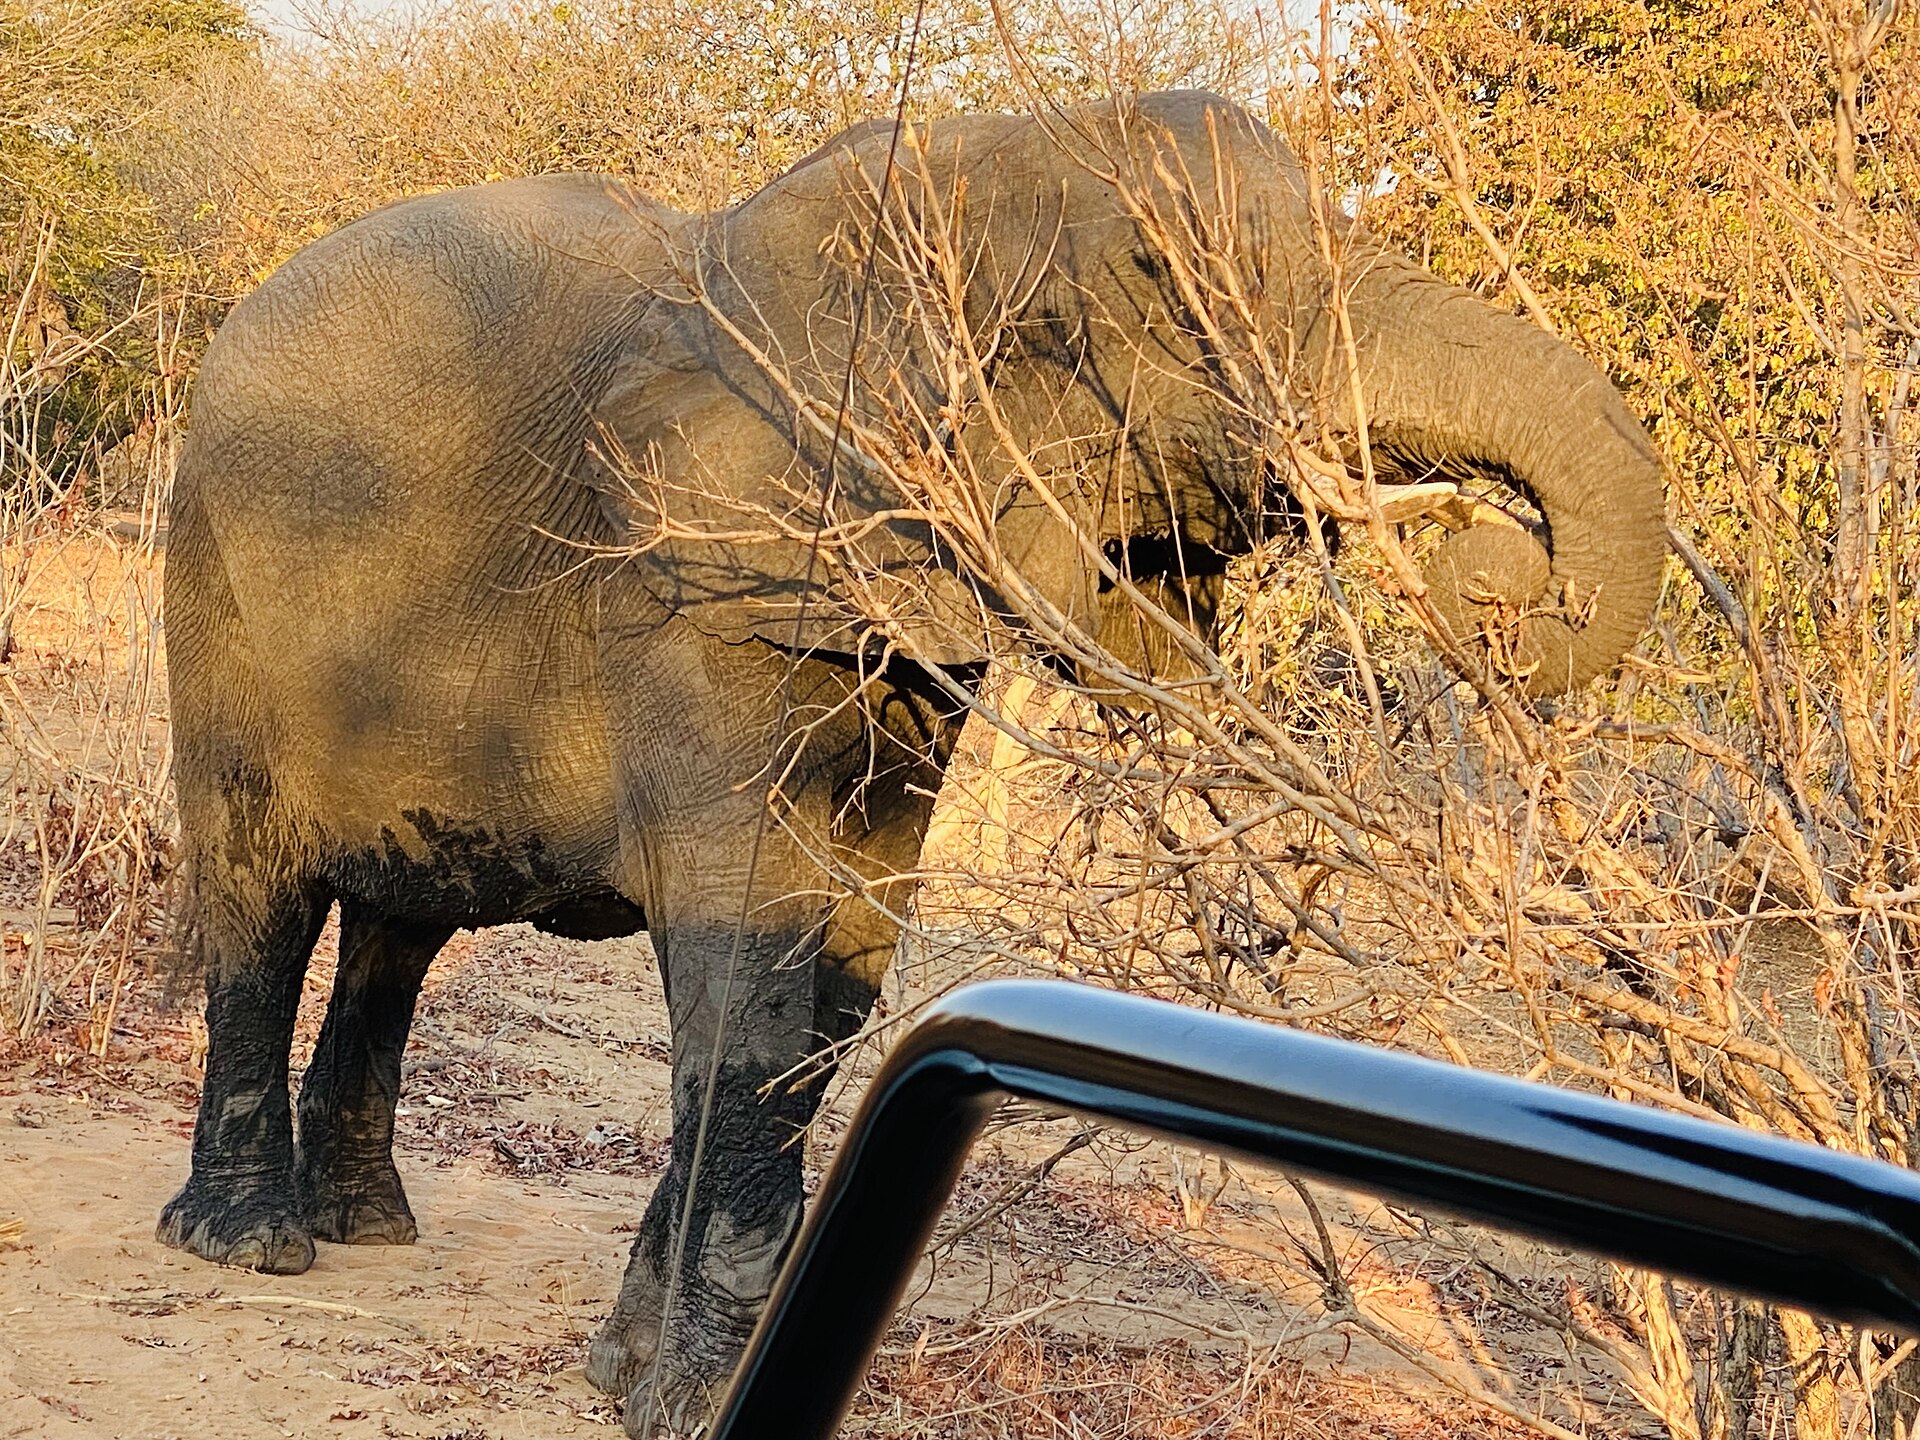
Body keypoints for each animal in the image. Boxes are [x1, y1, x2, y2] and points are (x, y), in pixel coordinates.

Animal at [157, 90, 1665, 1436]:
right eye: (1163, 282)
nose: (1494, 570)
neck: (941, 165)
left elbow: (849, 949)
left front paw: (636, 1378)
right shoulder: (696, 576)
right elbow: (752, 949)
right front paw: (694, 1401)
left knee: (402, 926)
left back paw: (367, 1224)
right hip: (212, 587)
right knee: (261, 895)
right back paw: (251, 1242)